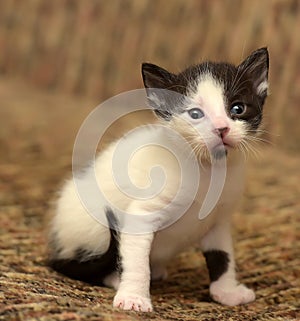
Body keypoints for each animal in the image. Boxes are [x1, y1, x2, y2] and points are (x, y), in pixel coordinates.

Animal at [48, 48, 270, 312]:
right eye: (195, 114)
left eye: (238, 109)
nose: (221, 128)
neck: (207, 169)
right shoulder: (140, 215)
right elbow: (137, 262)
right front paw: (134, 297)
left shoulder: (219, 221)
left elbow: (223, 257)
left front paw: (227, 292)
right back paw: (116, 278)